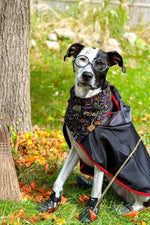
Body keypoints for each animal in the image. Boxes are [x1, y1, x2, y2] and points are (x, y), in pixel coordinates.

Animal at [38, 43, 150, 222]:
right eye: (82, 59)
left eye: (100, 64)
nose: (87, 75)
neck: (85, 104)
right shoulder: (76, 149)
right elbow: (60, 178)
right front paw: (52, 201)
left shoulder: (100, 156)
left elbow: (96, 191)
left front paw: (90, 211)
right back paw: (84, 181)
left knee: (139, 204)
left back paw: (124, 208)